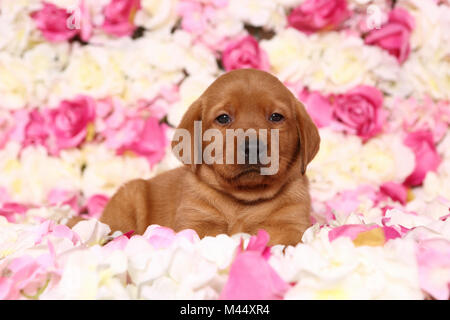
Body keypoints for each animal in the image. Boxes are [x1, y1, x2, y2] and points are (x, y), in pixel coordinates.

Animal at [70, 69, 320, 245]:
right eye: (223, 118)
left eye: (276, 117)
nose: (252, 146)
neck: (243, 200)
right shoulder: (195, 222)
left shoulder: (291, 225)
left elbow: (286, 243)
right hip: (127, 201)